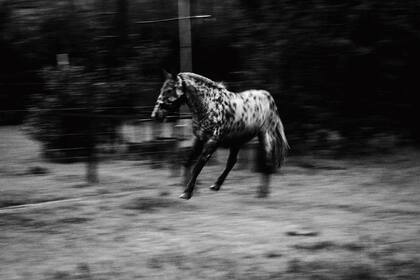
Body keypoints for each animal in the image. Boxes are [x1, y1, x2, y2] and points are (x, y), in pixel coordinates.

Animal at [151, 71, 288, 200]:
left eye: (169, 89)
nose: (155, 114)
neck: (208, 105)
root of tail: (269, 97)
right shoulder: (199, 139)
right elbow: (187, 162)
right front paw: (191, 190)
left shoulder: (212, 141)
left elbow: (198, 166)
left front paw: (187, 193)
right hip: (237, 141)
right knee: (232, 162)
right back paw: (216, 185)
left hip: (265, 136)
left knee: (267, 162)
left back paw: (262, 194)